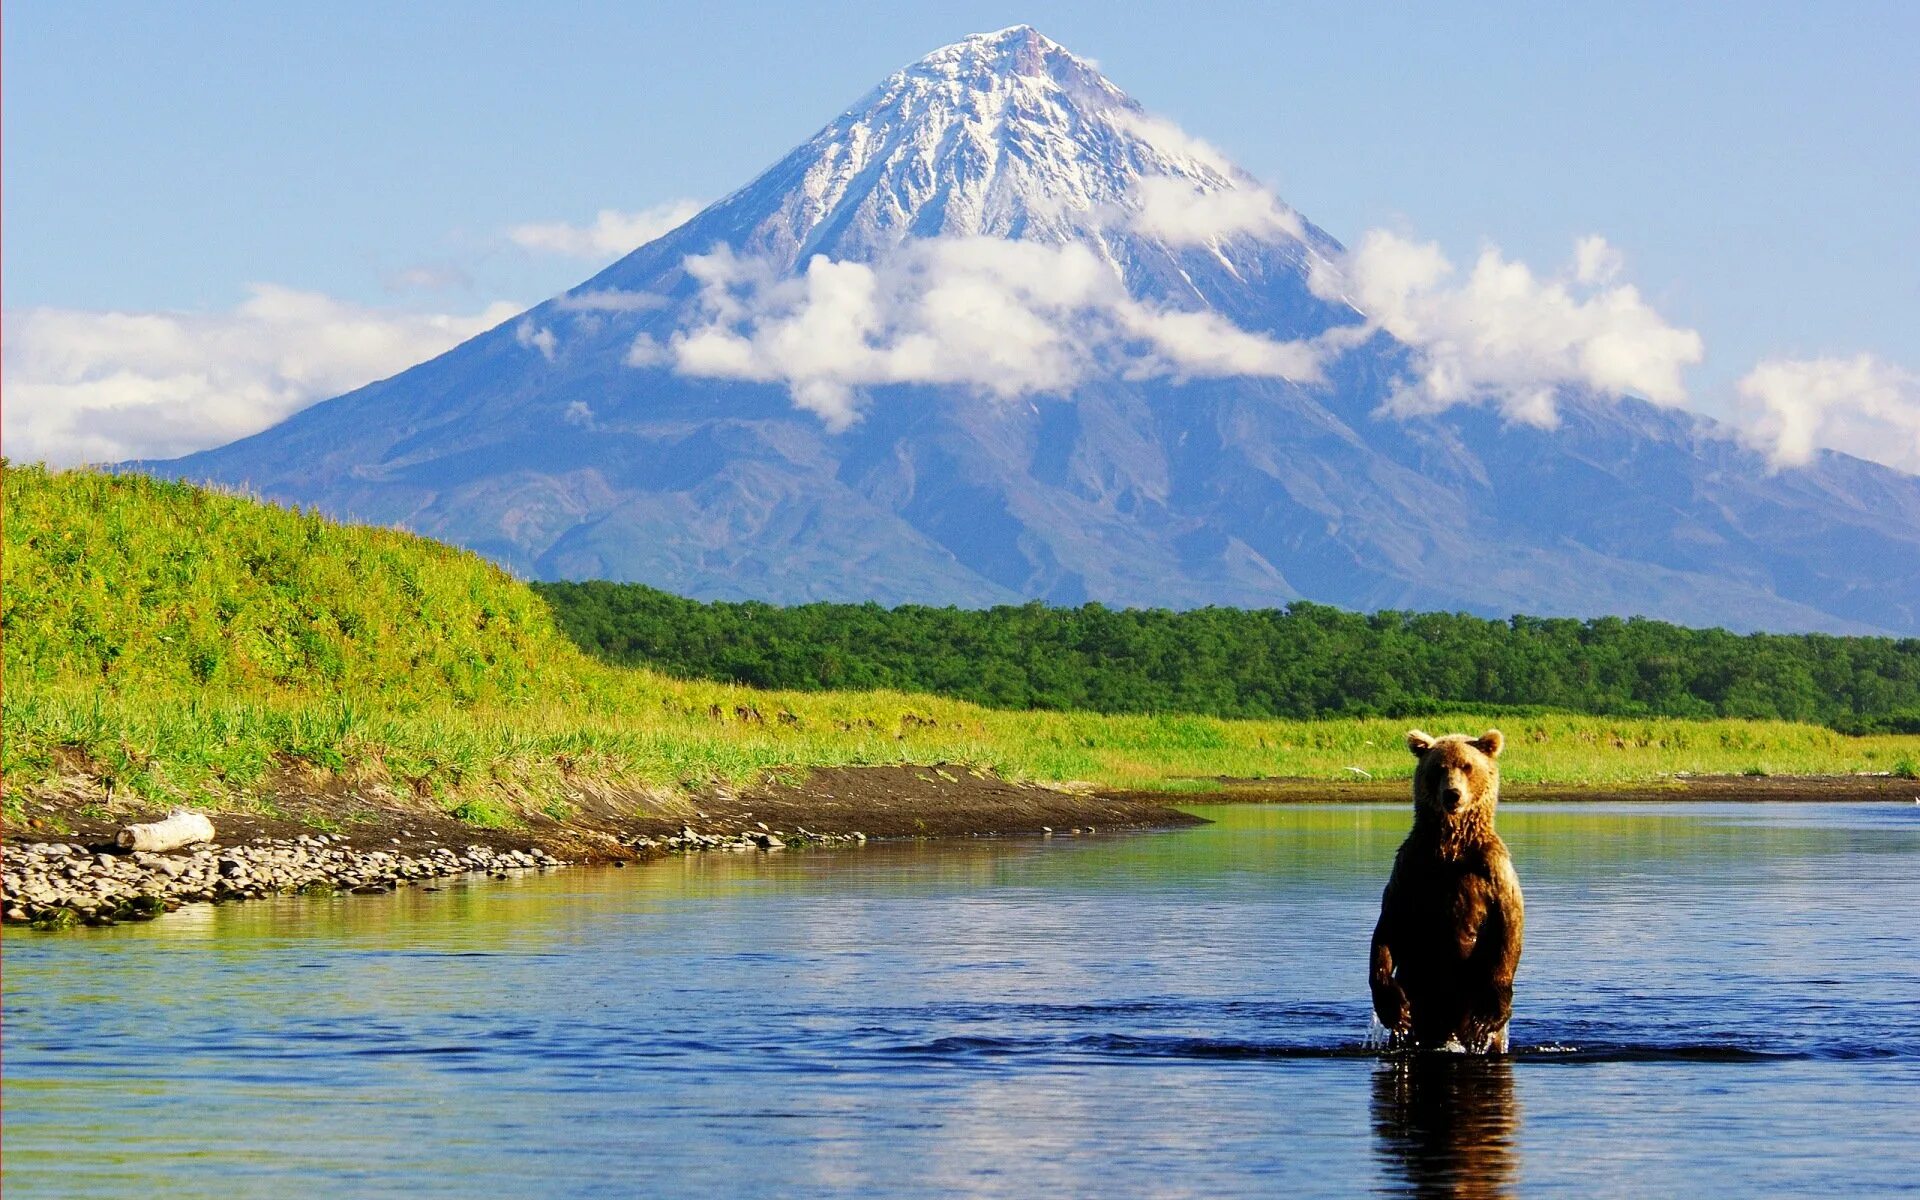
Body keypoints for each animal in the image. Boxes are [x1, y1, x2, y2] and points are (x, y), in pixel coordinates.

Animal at [1367, 729, 1528, 1044]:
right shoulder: (1410, 868)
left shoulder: (1492, 869)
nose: (1452, 794)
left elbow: (1508, 925)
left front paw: (1489, 1013)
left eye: (1467, 766)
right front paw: (1393, 1007)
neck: (1450, 848)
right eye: (1438, 768)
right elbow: (1388, 927)